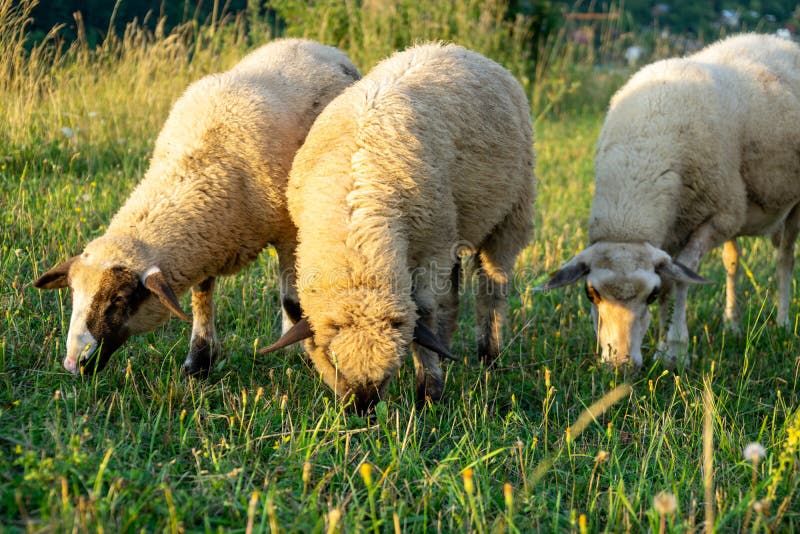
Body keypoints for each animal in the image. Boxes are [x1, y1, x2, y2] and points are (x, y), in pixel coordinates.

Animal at [33, 38, 360, 376]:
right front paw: (200, 360)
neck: (200, 162)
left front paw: (301, 355)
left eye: (120, 300)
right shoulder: (208, 239)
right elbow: (202, 296)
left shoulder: (287, 233)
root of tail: (311, 44)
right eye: (73, 292)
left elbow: (292, 302)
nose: (73, 363)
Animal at [264, 44, 536, 412]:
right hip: (452, 228)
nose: (362, 412)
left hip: (510, 214)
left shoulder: (429, 249)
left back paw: (488, 356)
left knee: (492, 289)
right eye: (333, 363)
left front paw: (429, 392)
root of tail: (455, 47)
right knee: (452, 294)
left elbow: (425, 313)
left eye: (389, 371)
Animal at [536, 32, 800, 368]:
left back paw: (783, 322)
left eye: (647, 296)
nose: (620, 365)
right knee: (732, 262)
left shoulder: (715, 219)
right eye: (590, 294)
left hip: (788, 206)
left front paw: (675, 349)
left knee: (785, 259)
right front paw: (663, 344)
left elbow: (680, 278)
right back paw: (733, 324)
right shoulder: (676, 227)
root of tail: (771, 38)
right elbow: (671, 279)